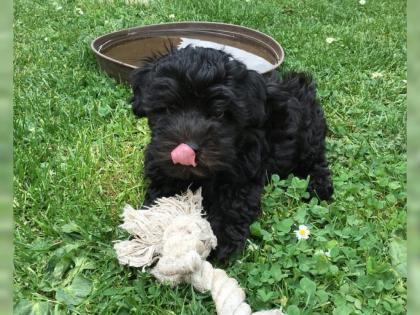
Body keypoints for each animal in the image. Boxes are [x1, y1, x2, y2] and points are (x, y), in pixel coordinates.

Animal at [130, 46, 334, 260]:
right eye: (169, 108)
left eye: (219, 113)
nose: (190, 147)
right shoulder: (162, 167)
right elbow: (162, 197)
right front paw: (147, 231)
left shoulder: (243, 174)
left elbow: (232, 205)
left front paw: (219, 239)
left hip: (307, 136)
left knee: (315, 160)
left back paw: (318, 186)